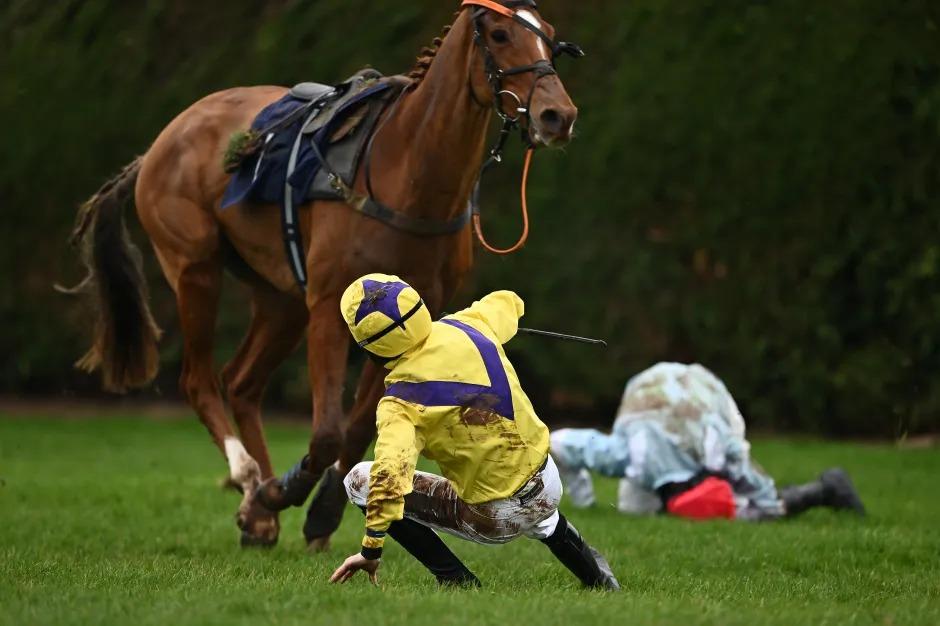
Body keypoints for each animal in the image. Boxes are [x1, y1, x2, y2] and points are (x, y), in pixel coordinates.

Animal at [64, 0, 579, 548]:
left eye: (549, 37)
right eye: (500, 34)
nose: (558, 115)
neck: (407, 174)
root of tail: (160, 143)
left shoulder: (410, 315)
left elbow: (357, 427)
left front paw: (321, 510)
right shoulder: (329, 306)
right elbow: (329, 430)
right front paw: (283, 493)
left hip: (281, 298)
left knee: (241, 382)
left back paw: (259, 511)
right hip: (194, 269)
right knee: (198, 379)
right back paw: (251, 480)